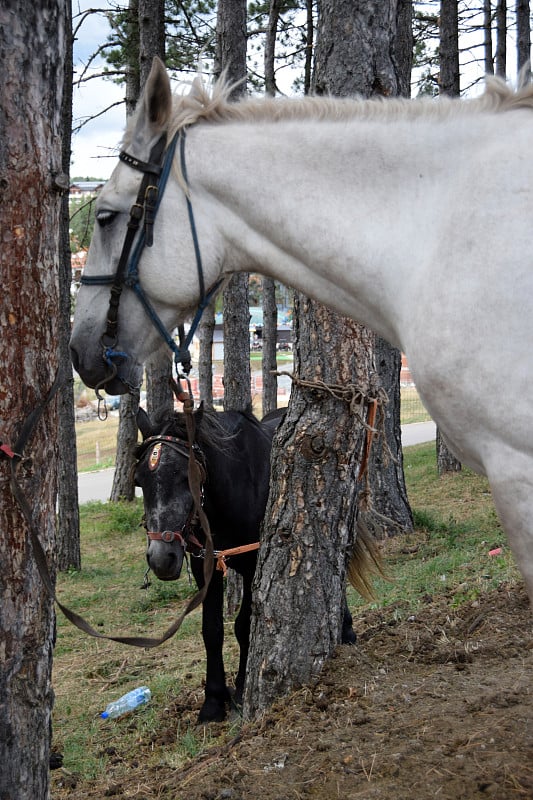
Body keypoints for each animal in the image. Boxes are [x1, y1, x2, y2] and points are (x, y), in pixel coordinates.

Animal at [134, 404, 358, 720]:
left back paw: (346, 628)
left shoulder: (255, 564)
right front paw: (213, 701)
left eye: (187, 476)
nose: (160, 558)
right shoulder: (205, 567)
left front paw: (241, 689)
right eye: (140, 481)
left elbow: (243, 626)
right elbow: (212, 630)